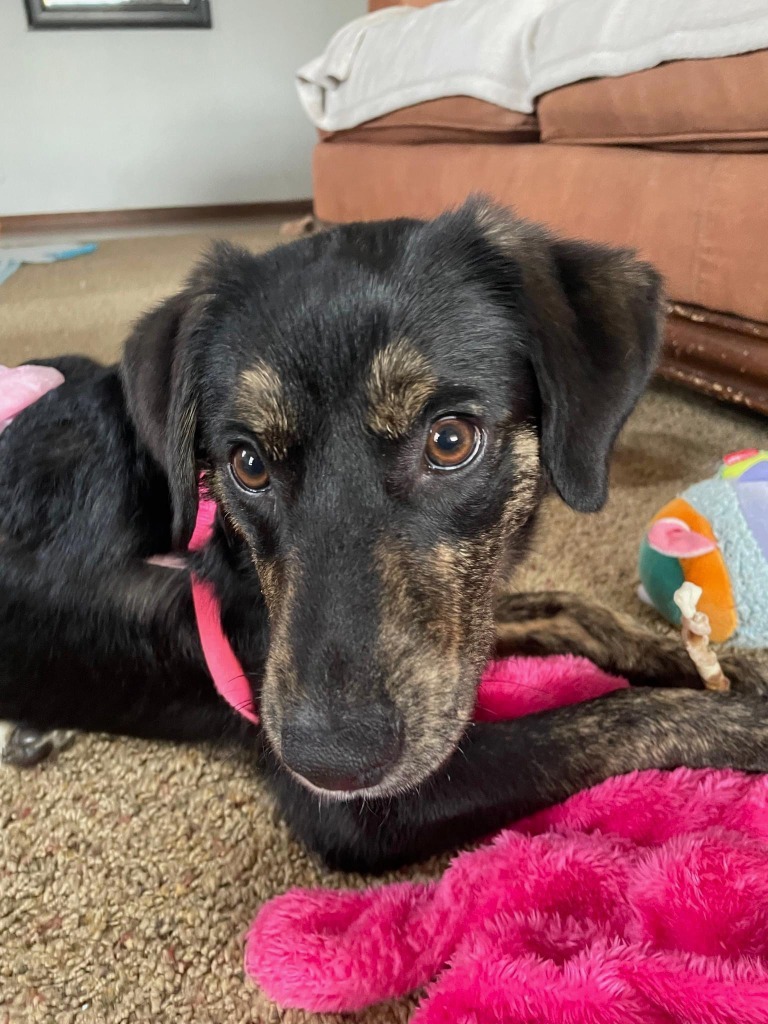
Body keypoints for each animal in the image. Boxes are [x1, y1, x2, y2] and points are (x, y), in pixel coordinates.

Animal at [1, 199, 768, 872]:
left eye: (450, 440)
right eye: (247, 463)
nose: (333, 761)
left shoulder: (460, 625)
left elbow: (569, 608)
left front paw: (718, 665)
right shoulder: (362, 809)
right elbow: (610, 719)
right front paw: (747, 721)